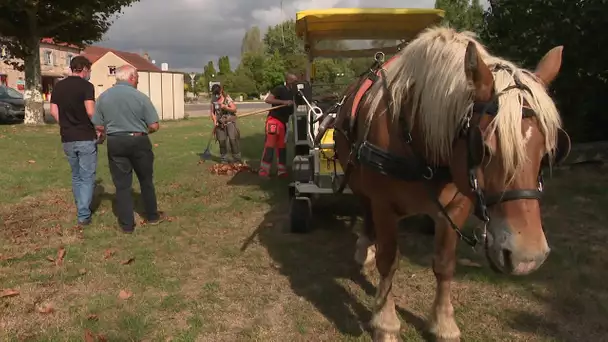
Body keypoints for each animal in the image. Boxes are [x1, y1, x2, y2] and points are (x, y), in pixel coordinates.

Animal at [330, 27, 572, 342]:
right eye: (484, 149)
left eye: (547, 153)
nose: (527, 257)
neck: (418, 141)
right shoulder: (384, 206)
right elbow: (389, 260)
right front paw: (385, 322)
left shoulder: (456, 207)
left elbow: (444, 265)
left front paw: (443, 323)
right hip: (358, 179)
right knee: (365, 207)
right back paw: (365, 247)